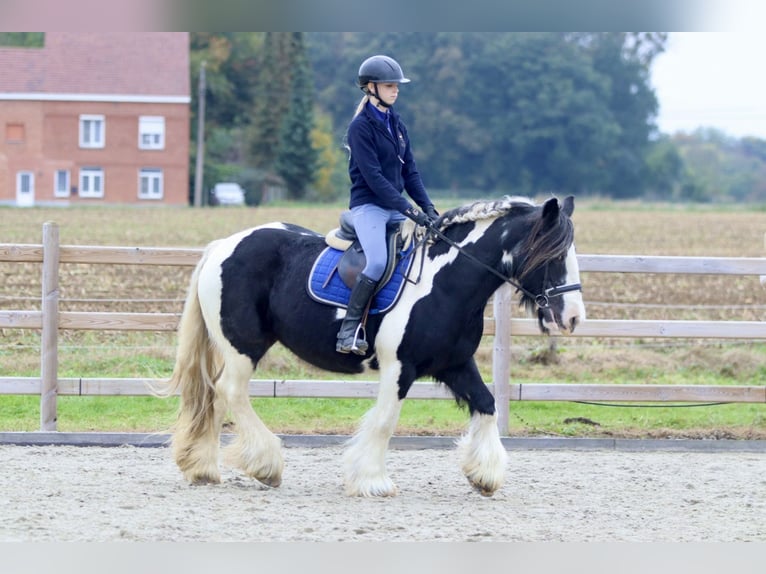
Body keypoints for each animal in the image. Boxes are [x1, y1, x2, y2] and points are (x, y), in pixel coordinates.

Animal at [166, 196, 588, 498]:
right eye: (552, 256)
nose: (572, 318)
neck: (446, 281)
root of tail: (223, 245)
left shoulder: (455, 363)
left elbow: (486, 405)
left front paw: (483, 476)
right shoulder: (400, 366)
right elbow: (385, 421)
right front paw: (372, 481)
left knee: (214, 397)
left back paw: (202, 468)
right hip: (243, 345)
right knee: (230, 392)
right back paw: (265, 466)